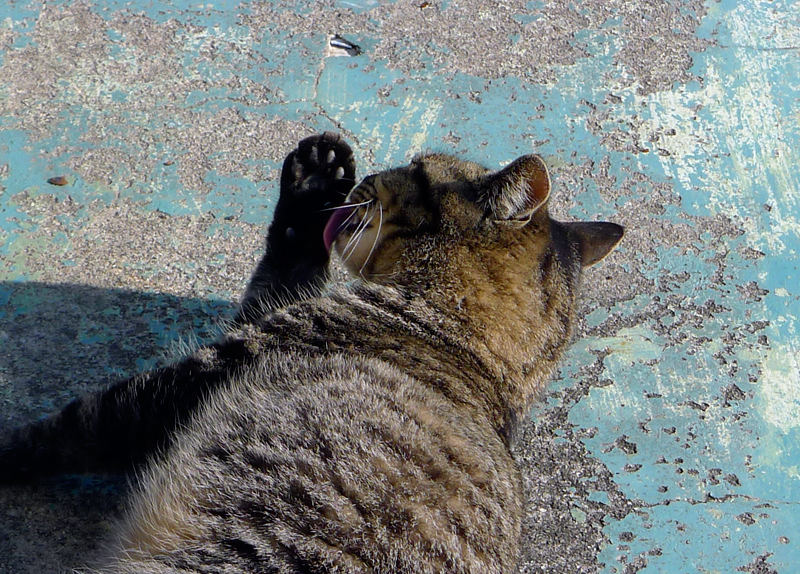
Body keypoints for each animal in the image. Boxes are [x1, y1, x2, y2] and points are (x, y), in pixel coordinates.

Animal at [0, 133, 620, 572]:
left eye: (417, 171)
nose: (369, 175)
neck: (473, 350)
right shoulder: (263, 314)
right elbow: (290, 256)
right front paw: (316, 178)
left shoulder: (200, 372)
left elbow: (69, 426)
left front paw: (11, 445)